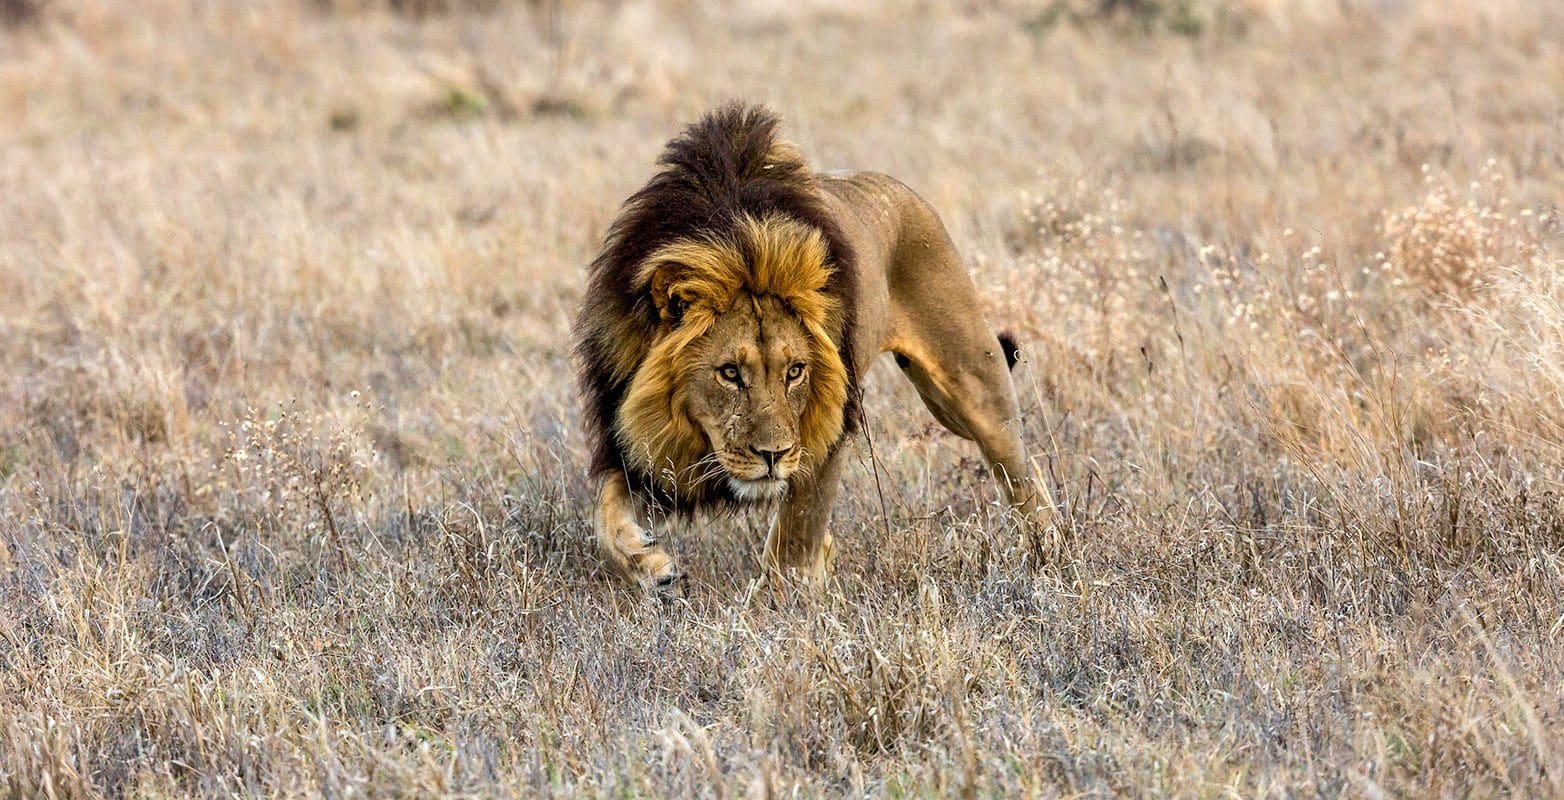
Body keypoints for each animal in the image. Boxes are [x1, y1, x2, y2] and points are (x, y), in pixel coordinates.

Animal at [573, 103, 1049, 591]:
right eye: (730, 373)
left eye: (795, 371)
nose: (773, 456)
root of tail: (899, 189)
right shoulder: (637, 442)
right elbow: (605, 516)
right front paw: (649, 564)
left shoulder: (828, 426)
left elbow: (796, 533)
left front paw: (779, 599)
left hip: (971, 384)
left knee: (1022, 473)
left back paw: (1047, 551)